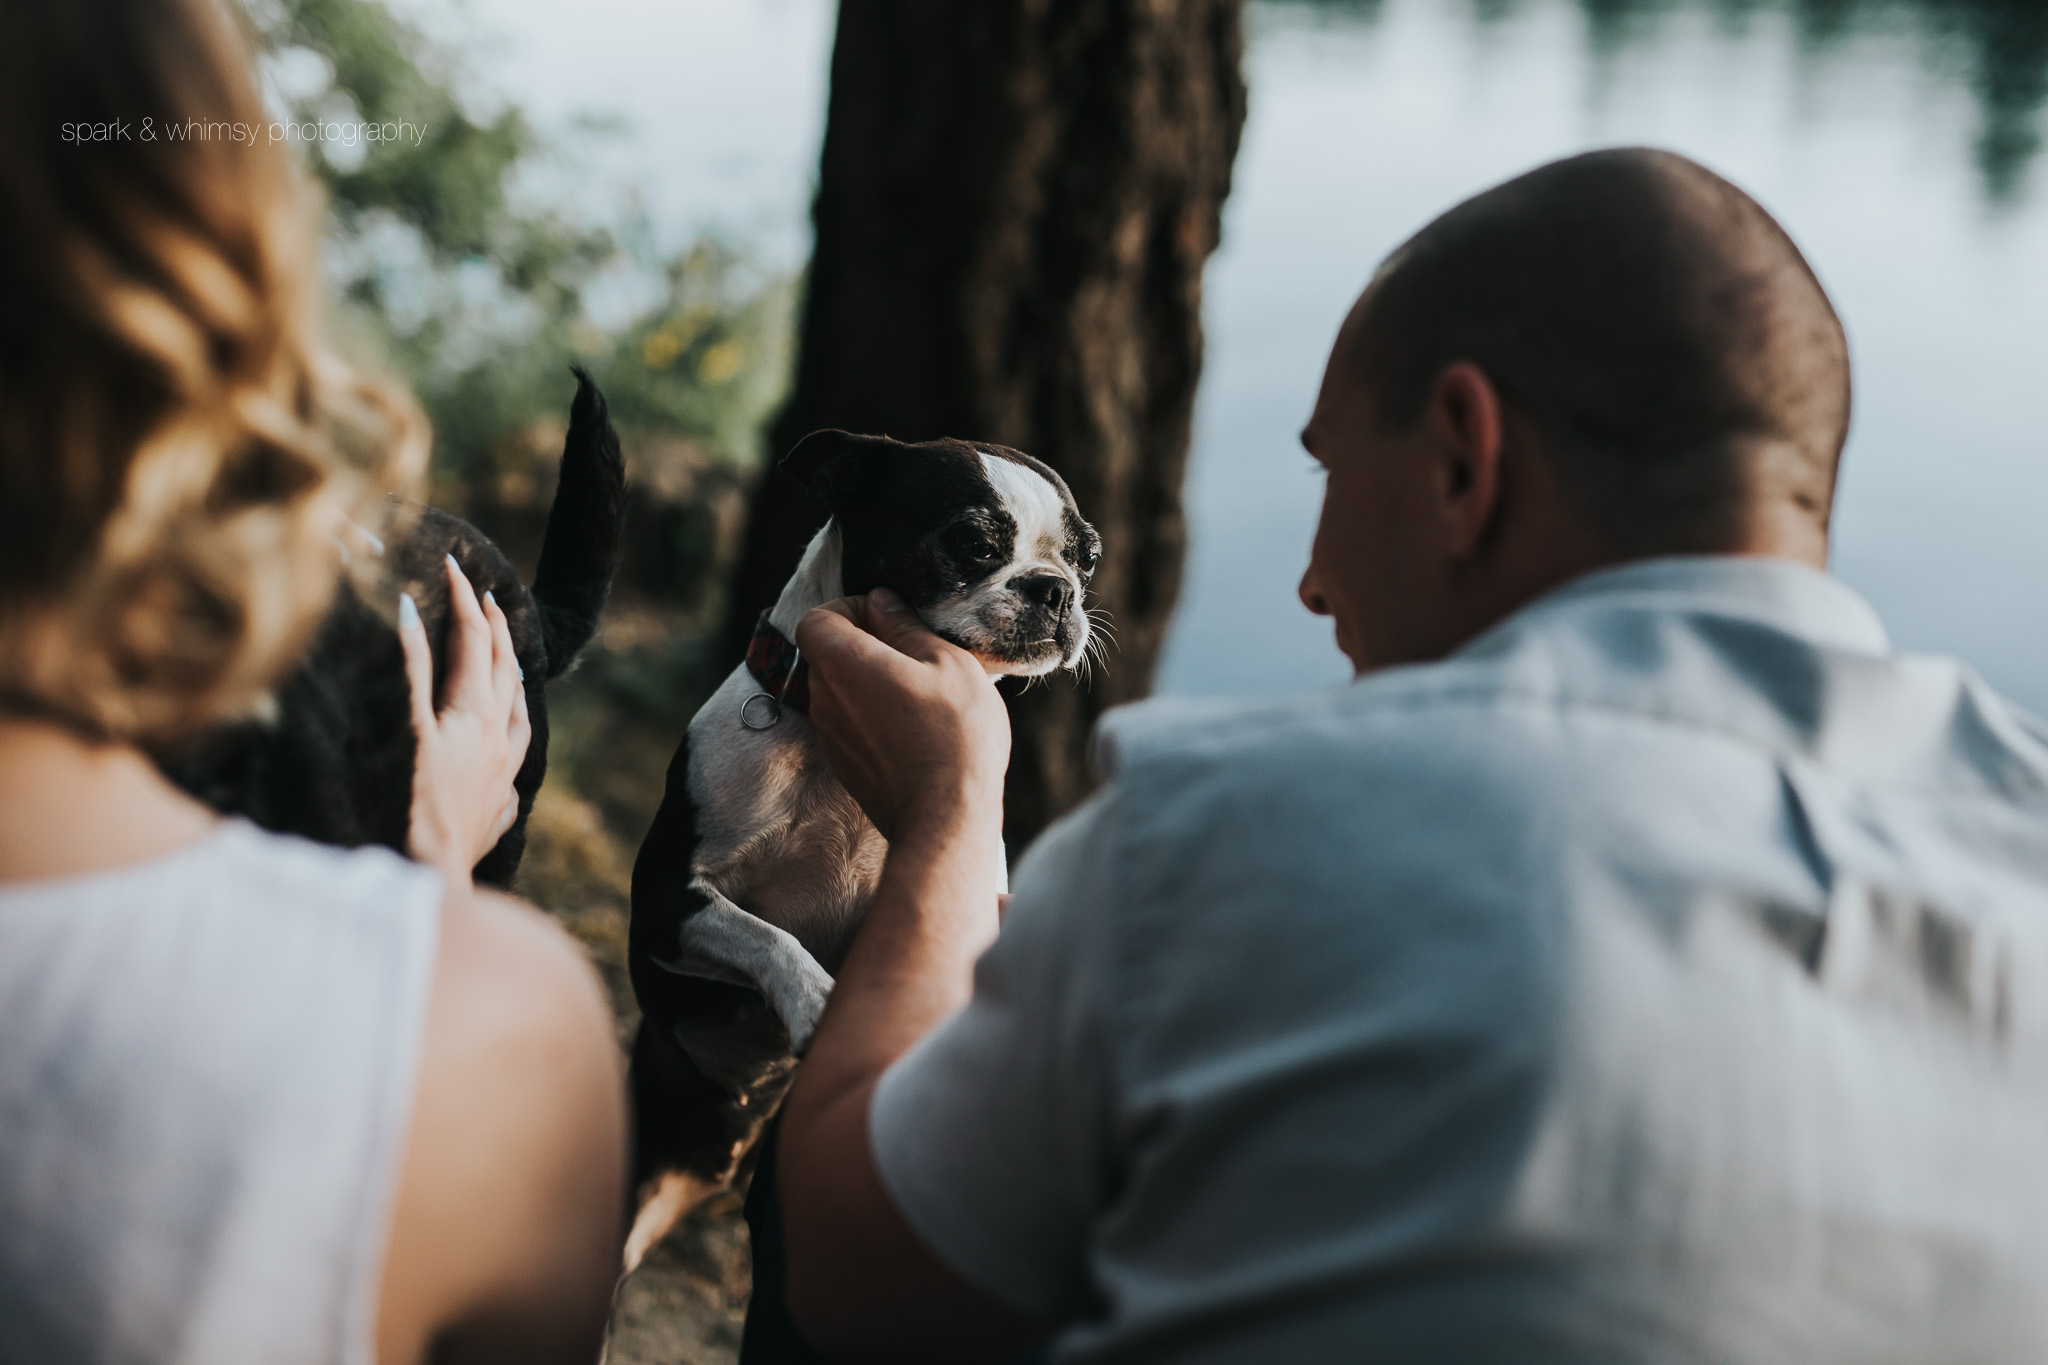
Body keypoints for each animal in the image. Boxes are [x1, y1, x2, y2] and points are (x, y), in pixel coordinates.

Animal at [626, 429, 1105, 1268]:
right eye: (974, 541)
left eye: (1089, 558)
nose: (1055, 590)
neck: (829, 747)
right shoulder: (661, 903)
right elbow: (763, 931)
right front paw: (819, 999)